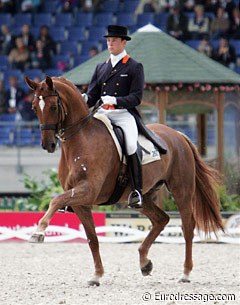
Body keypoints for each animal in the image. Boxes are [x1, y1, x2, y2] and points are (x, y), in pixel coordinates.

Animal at [25, 75, 224, 284]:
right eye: (34, 107)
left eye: (53, 107)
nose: (48, 144)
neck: (81, 140)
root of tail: (179, 135)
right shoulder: (81, 203)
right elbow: (92, 239)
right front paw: (97, 275)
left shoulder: (88, 190)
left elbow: (55, 200)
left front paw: (38, 232)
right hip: (144, 196)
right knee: (161, 219)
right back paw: (145, 262)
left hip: (181, 190)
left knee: (187, 227)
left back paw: (185, 273)